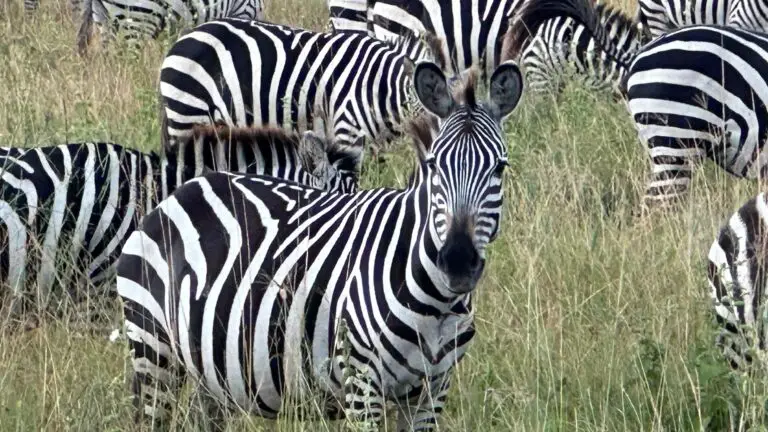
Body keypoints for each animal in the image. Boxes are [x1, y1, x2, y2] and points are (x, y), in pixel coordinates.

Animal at [115, 57, 520, 428]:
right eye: (435, 165)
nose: (457, 262)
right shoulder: (362, 382)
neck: (436, 304)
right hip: (154, 349)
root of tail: (186, 189)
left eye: (500, 167)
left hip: (209, 372)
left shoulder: (432, 392)